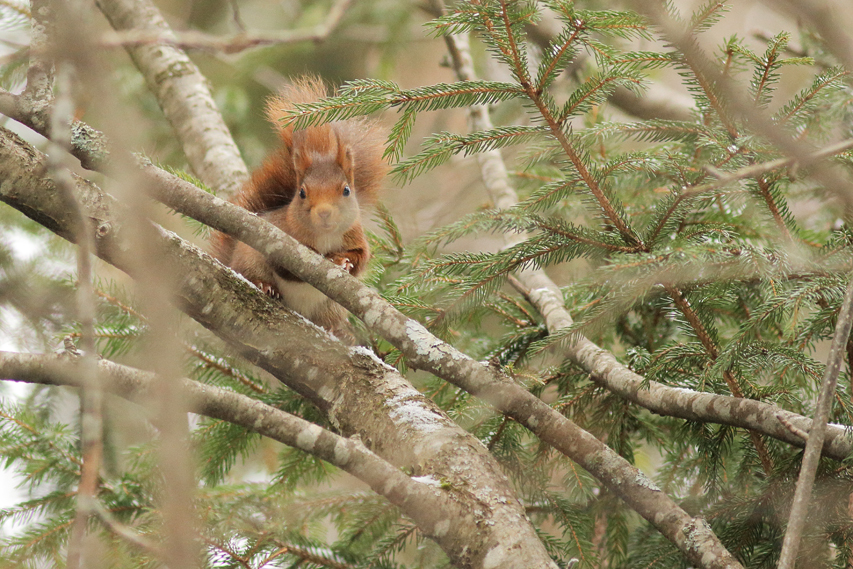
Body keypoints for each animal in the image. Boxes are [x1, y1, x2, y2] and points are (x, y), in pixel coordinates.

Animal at [211, 77, 388, 330]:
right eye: (302, 193)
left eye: (346, 190)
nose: (324, 213)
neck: (324, 235)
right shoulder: (282, 238)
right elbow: (288, 268)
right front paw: (322, 256)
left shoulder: (356, 237)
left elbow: (360, 260)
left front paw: (342, 261)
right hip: (248, 259)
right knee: (248, 272)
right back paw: (264, 285)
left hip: (331, 309)